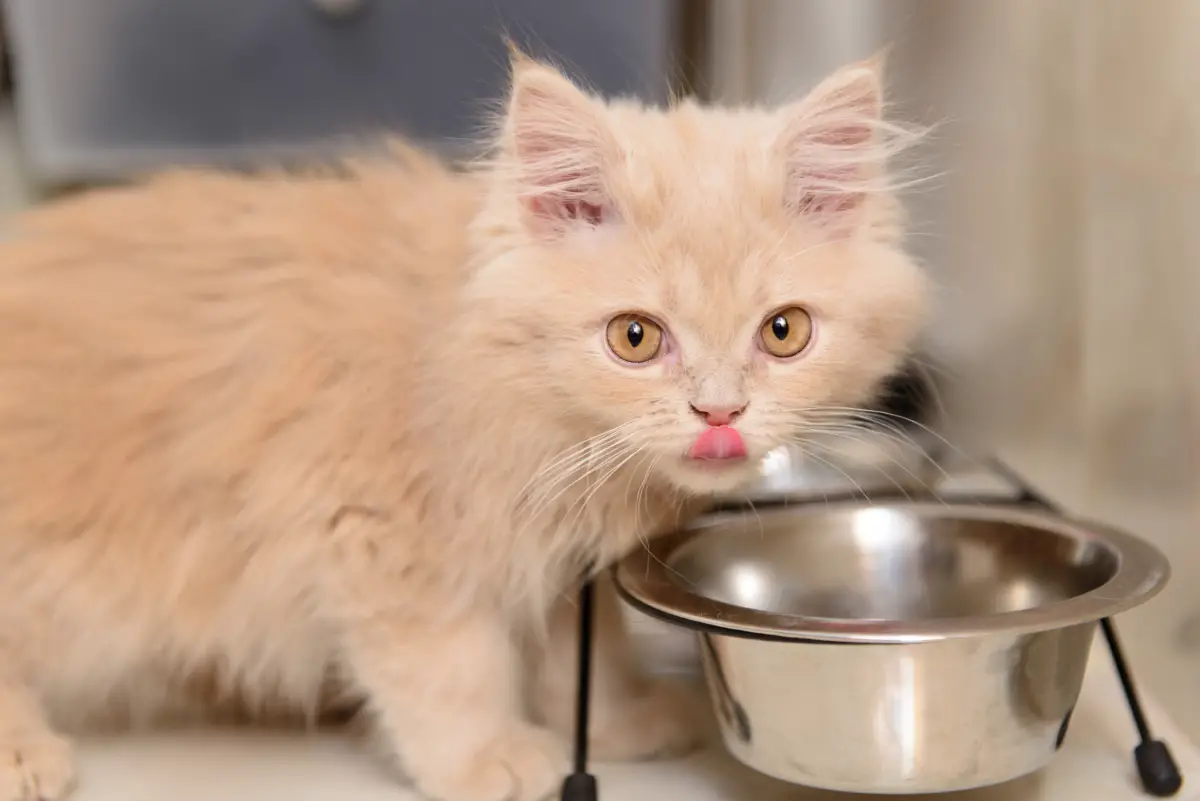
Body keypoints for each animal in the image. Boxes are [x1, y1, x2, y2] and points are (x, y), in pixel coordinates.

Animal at [0, 51, 926, 801]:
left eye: (784, 332)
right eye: (635, 338)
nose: (720, 410)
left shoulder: (564, 567)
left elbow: (585, 659)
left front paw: (616, 723)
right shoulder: (383, 535)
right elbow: (451, 667)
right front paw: (490, 757)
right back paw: (25, 753)